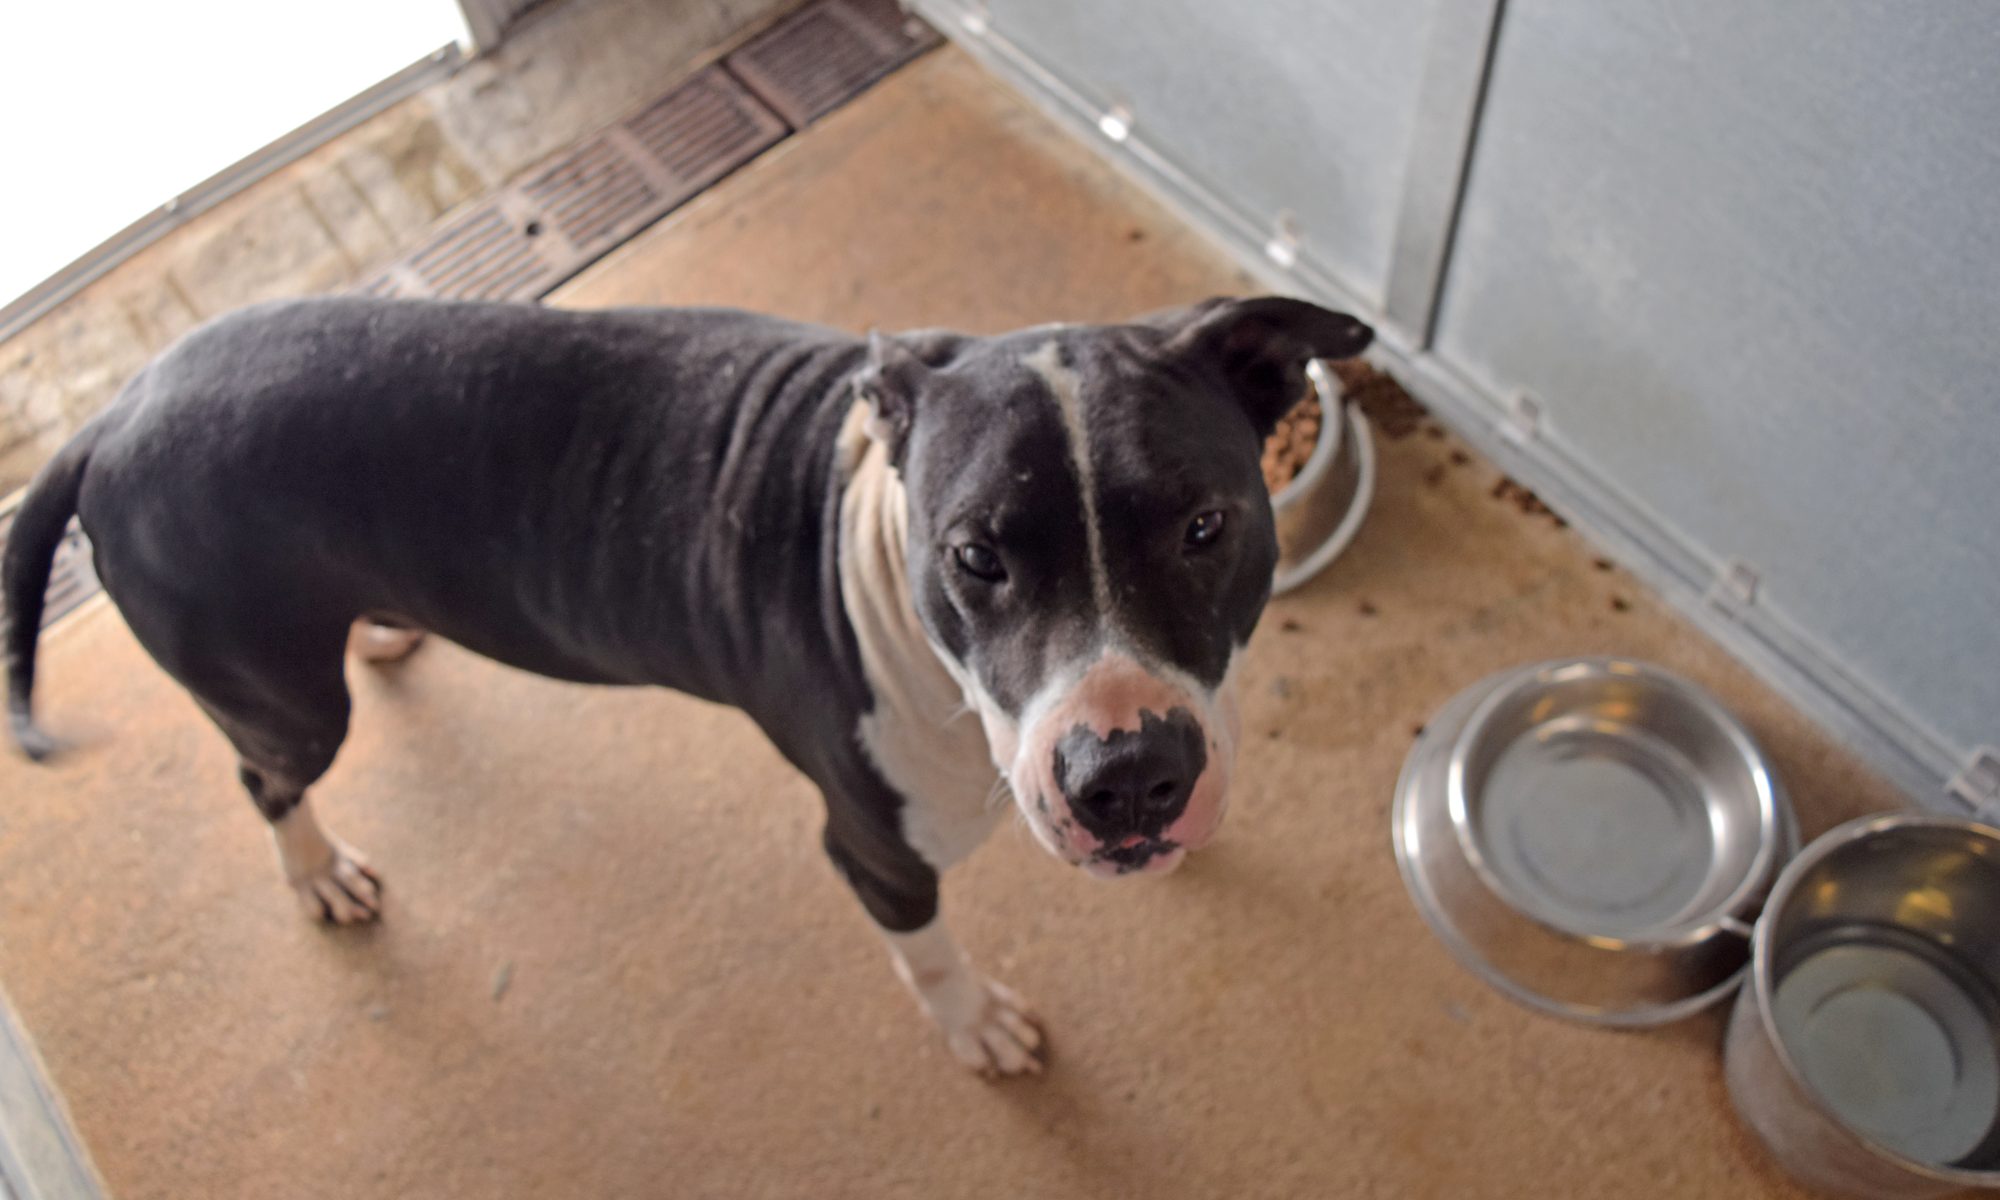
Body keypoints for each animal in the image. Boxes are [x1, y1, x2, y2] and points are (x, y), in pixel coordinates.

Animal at [2, 295, 1372, 1074]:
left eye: (1205, 527)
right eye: (975, 559)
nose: (1124, 776)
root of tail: (110, 418)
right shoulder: (876, 852)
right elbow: (928, 955)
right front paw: (974, 1026)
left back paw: (385, 632)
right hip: (285, 701)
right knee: (263, 773)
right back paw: (316, 872)